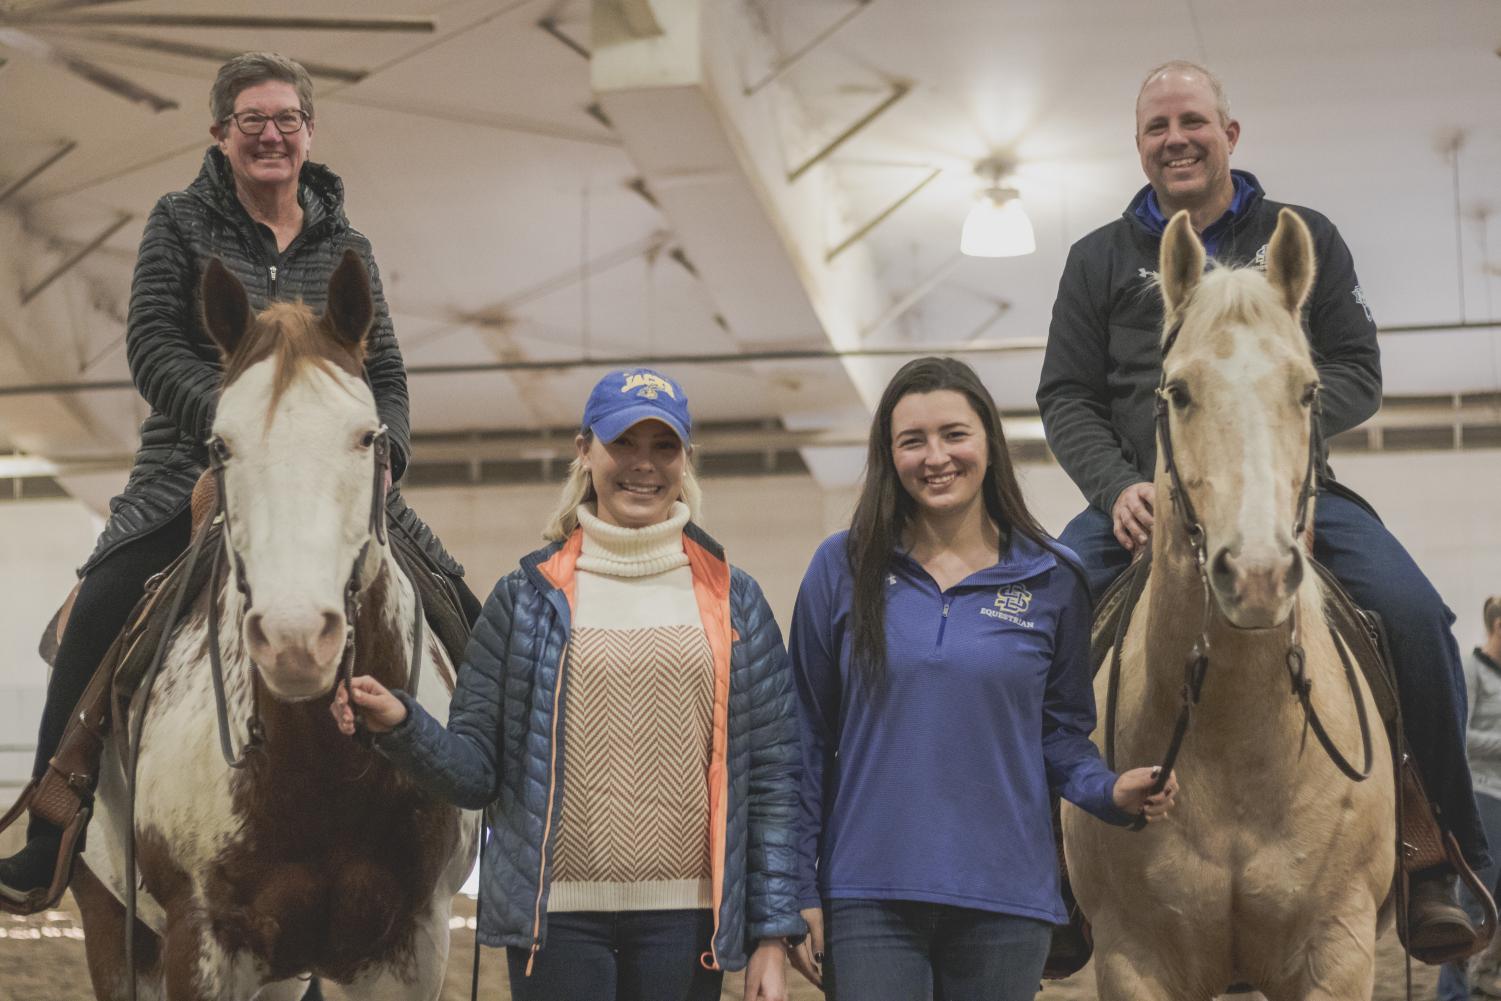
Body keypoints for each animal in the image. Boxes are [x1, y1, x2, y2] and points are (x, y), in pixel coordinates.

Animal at [70, 255, 477, 996]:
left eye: (367, 437)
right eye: (221, 444)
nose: (296, 640)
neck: (320, 762)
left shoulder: (411, 944)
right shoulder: (200, 941)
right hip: (111, 924)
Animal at [1068, 207, 1392, 996]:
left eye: (1308, 391)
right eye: (1178, 392)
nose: (1256, 573)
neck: (1236, 739)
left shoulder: (1338, 950)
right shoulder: (1132, 958)